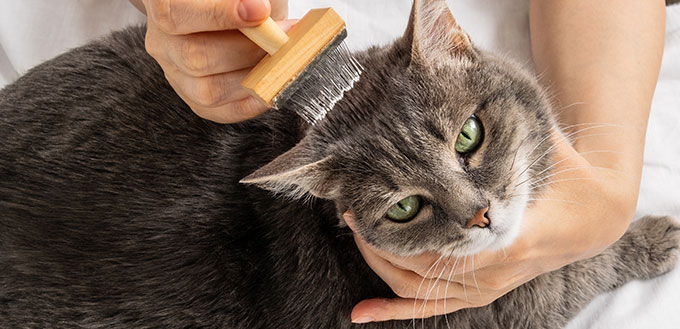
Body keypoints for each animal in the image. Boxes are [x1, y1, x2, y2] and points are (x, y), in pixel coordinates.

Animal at [1, 0, 680, 328]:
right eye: (404, 207)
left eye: (469, 136)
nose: (481, 216)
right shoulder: (501, 306)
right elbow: (582, 267)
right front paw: (656, 236)